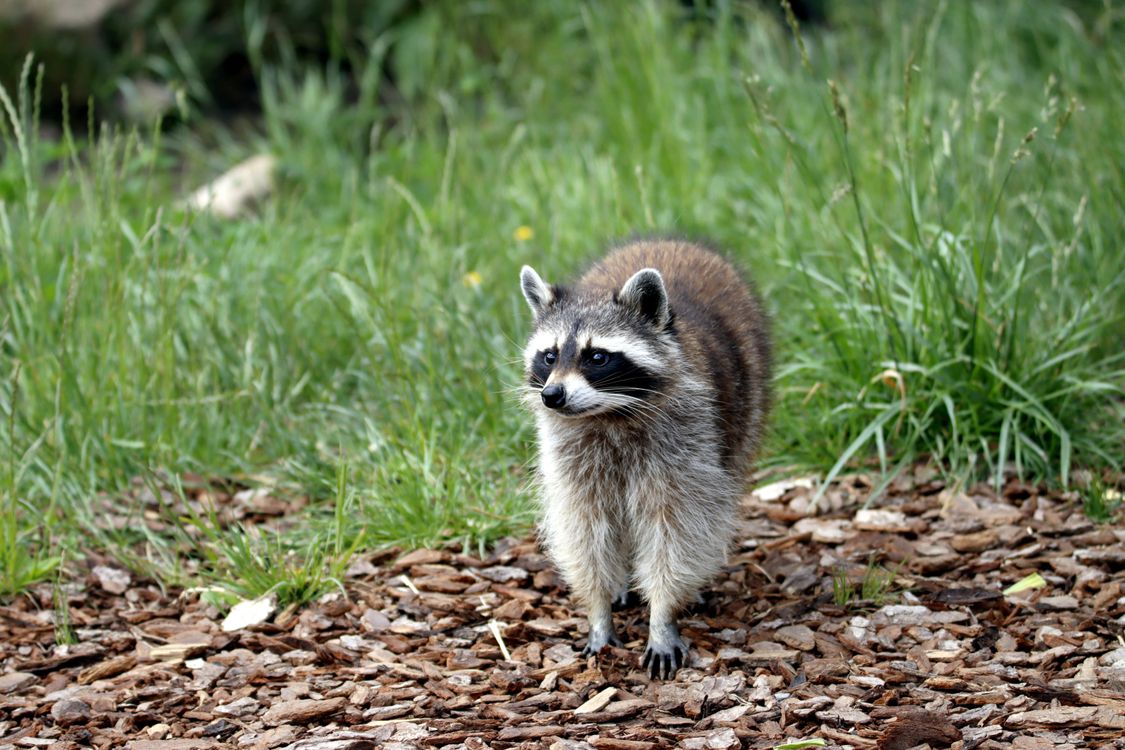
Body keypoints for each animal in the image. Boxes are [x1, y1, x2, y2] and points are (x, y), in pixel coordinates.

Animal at [518, 238, 771, 678]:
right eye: (549, 356)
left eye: (597, 357)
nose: (552, 396)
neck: (608, 414)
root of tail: (669, 240)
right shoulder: (571, 455)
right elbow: (583, 529)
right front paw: (598, 610)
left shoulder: (687, 442)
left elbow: (677, 530)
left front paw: (662, 615)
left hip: (744, 407)